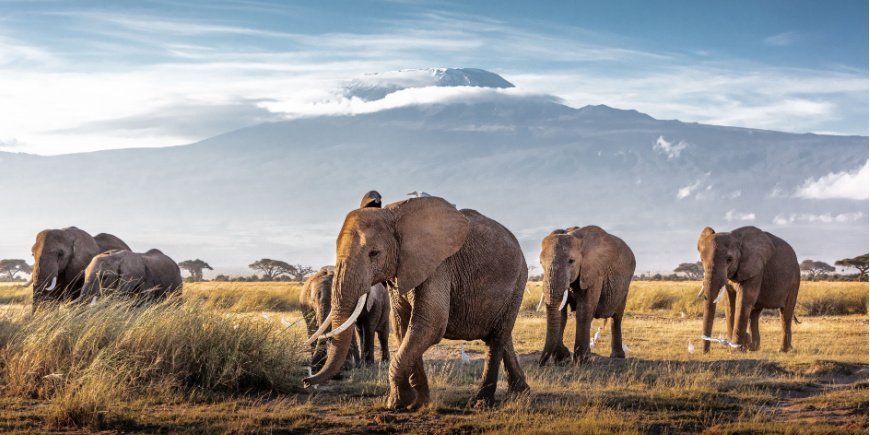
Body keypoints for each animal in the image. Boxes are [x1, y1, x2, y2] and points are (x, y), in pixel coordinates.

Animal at [303, 196, 529, 410]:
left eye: (374, 253)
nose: (306, 381)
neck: (393, 213)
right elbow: (404, 326)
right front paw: (417, 403)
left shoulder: (438, 266)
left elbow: (429, 325)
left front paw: (396, 404)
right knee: (502, 335)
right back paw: (521, 393)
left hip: (518, 281)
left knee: (496, 339)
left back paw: (482, 403)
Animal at [538, 226, 636, 365]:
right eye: (541, 263)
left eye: (571, 261)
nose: (540, 363)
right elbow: (561, 315)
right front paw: (563, 359)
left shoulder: (595, 273)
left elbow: (584, 312)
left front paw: (582, 360)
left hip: (625, 285)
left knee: (616, 318)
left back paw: (617, 356)